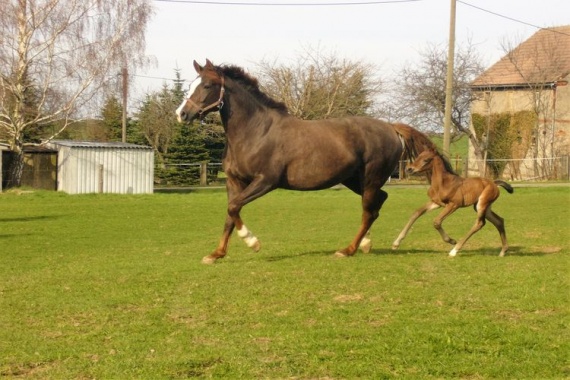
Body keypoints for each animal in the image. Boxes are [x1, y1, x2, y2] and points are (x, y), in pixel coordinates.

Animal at [175, 60, 432, 264]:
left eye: (207, 85)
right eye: (191, 84)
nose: (181, 114)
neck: (255, 131)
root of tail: (391, 128)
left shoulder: (265, 181)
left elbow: (234, 207)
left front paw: (252, 242)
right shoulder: (234, 181)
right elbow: (230, 213)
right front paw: (216, 254)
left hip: (370, 179)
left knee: (369, 210)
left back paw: (348, 250)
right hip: (354, 180)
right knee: (376, 203)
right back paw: (365, 244)